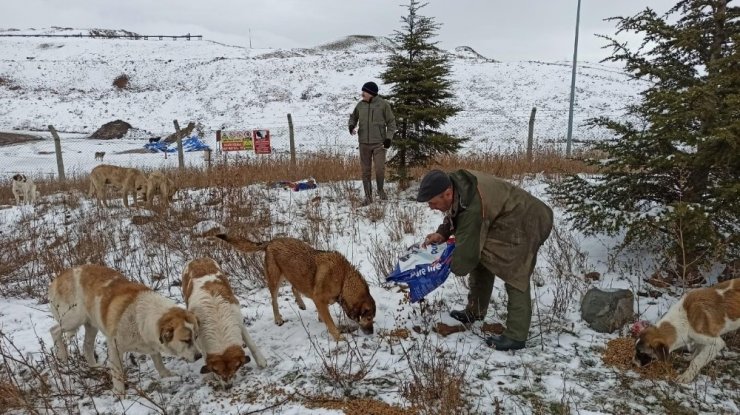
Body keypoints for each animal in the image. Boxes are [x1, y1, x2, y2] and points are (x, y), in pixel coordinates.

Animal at [49, 266, 202, 396]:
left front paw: (166, 375)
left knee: (86, 346)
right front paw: (119, 393)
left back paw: (94, 367)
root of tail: (59, 277)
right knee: (54, 330)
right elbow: (117, 372)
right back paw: (62, 356)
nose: (199, 356)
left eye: (196, 337)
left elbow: (158, 361)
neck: (141, 317)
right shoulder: (115, 346)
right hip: (73, 319)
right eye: (186, 340)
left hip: (91, 326)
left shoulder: (151, 342)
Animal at [181, 256, 268, 390]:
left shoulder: (239, 321)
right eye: (218, 372)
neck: (219, 324)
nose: (228, 386)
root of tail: (198, 259)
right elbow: (205, 354)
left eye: (234, 370)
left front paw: (261, 360)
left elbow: (251, 343)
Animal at [214, 236, 376, 342]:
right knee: (274, 300)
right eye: (369, 318)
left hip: (294, 274)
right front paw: (338, 337)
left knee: (294, 287)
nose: (371, 333)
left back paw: (301, 303)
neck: (343, 279)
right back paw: (278, 319)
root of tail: (271, 241)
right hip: (275, 281)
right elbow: (330, 323)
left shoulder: (322, 301)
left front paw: (321, 319)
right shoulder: (319, 300)